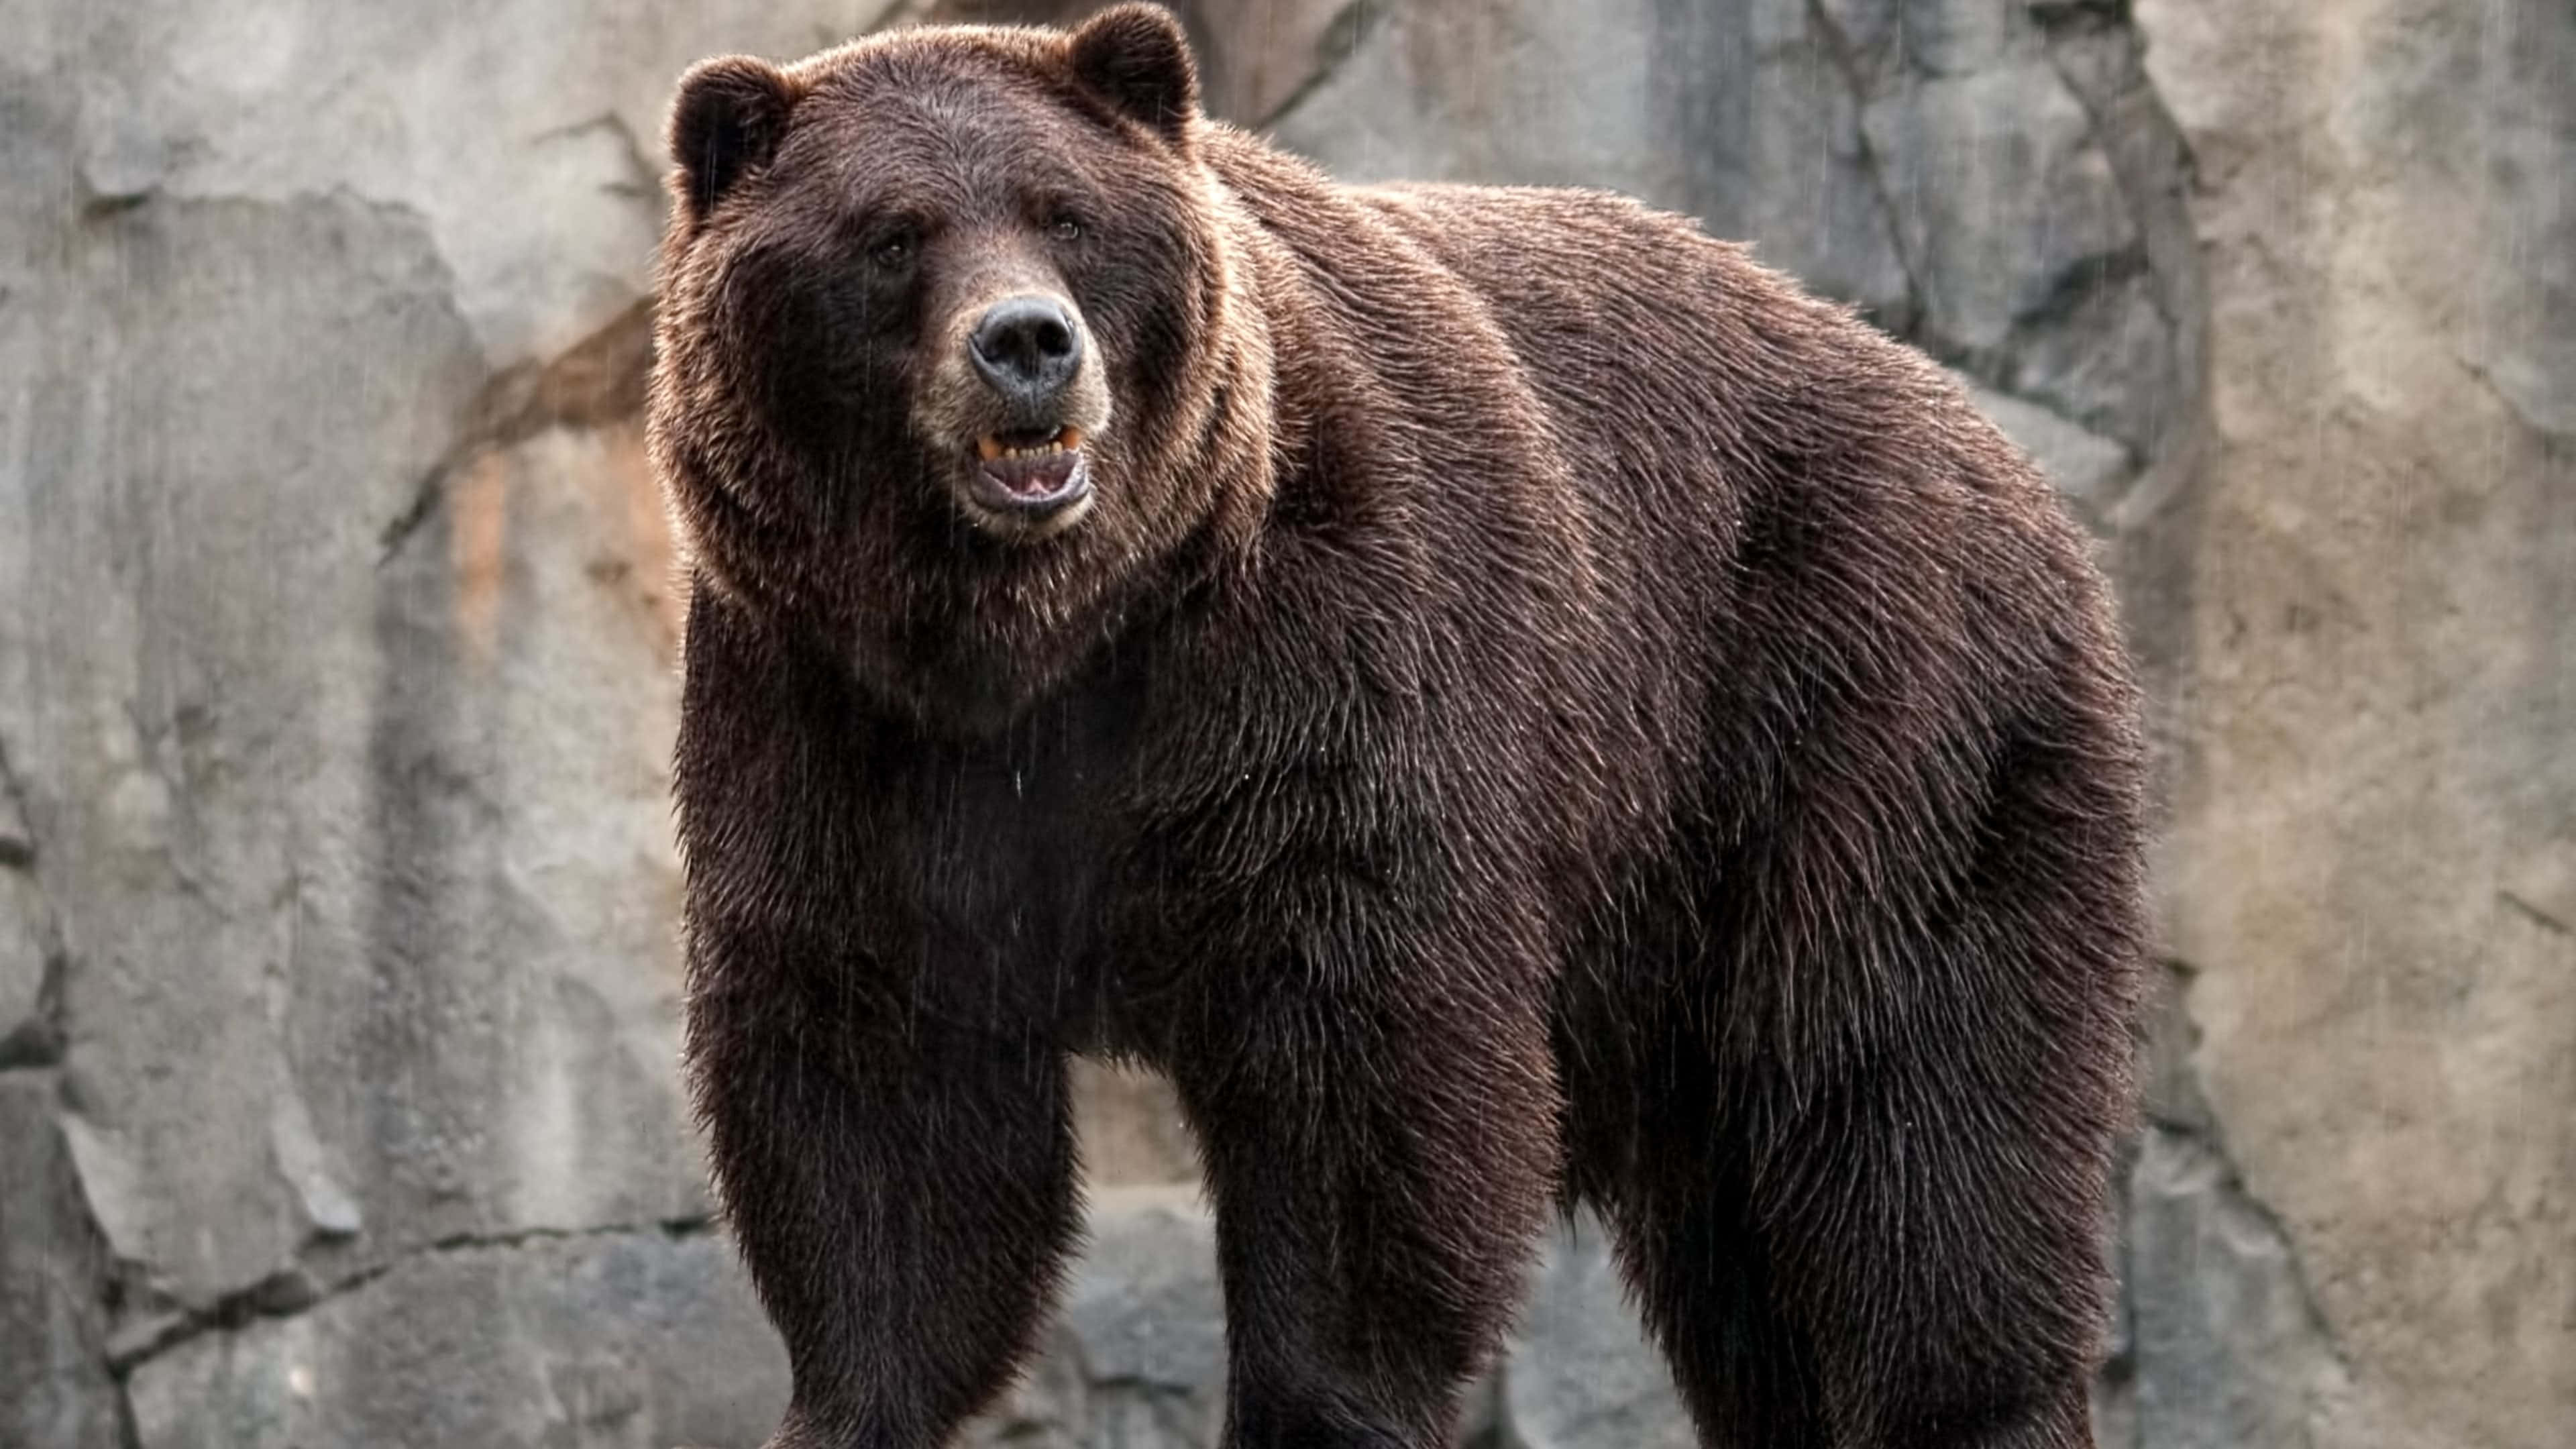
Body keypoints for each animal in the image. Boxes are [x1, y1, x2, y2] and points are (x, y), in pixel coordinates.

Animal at [647, 6, 2148, 1448]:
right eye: (894, 234)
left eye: (1063, 212)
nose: (1028, 344)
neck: (1050, 640)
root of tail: (1991, 446)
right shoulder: (837, 724)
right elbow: (878, 1097)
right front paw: (846, 1400)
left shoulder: (1324, 670)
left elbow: (1365, 1070)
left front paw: (1323, 1405)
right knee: (1746, 1257)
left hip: (1863, 719)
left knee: (1914, 1123)